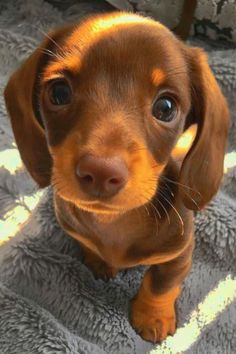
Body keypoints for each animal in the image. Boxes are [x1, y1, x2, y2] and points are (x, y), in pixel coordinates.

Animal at [4, 12, 230, 342]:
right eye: (59, 92)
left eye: (166, 107)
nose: (100, 172)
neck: (115, 222)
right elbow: (89, 246)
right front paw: (99, 260)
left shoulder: (180, 254)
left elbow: (161, 284)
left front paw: (153, 316)